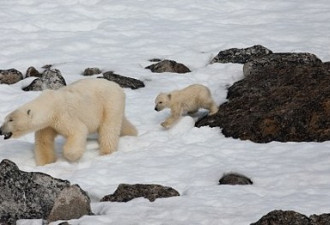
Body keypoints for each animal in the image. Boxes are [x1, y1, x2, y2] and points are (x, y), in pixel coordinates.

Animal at [0, 78, 137, 165]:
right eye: (5, 119)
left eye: (11, 119)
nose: (0, 130)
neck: (50, 106)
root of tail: (118, 87)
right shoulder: (47, 125)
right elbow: (43, 141)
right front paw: (46, 163)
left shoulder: (62, 116)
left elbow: (78, 130)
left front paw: (71, 156)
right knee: (121, 123)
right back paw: (132, 133)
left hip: (109, 103)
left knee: (109, 129)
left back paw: (106, 152)